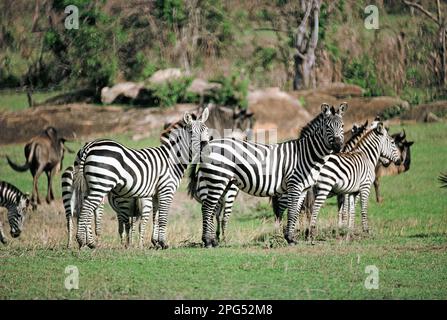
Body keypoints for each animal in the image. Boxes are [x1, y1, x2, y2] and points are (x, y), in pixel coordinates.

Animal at [71, 109, 211, 249]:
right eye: (191, 132)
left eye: (205, 130)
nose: (204, 145)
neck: (172, 158)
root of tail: (89, 146)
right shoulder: (166, 189)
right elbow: (163, 217)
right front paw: (163, 243)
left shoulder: (155, 193)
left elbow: (156, 217)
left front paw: (156, 242)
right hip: (101, 184)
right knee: (87, 207)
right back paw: (81, 240)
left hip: (88, 185)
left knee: (84, 207)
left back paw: (89, 243)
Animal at [189, 103, 350, 248]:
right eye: (327, 127)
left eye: (342, 126)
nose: (338, 146)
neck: (306, 154)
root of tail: (209, 144)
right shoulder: (294, 185)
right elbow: (292, 212)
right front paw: (290, 239)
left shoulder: (303, 189)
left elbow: (296, 212)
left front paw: (292, 237)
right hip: (218, 178)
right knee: (207, 208)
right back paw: (207, 241)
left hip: (222, 182)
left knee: (212, 209)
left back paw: (213, 241)